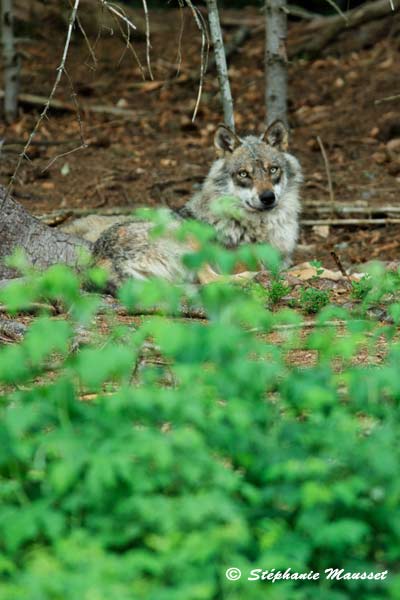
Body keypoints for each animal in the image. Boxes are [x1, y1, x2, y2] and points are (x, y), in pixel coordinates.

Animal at [90, 119, 302, 288]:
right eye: (243, 174)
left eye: (273, 170)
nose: (267, 197)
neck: (262, 226)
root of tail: (102, 260)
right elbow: (304, 267)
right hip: (189, 238)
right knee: (212, 280)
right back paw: (258, 276)